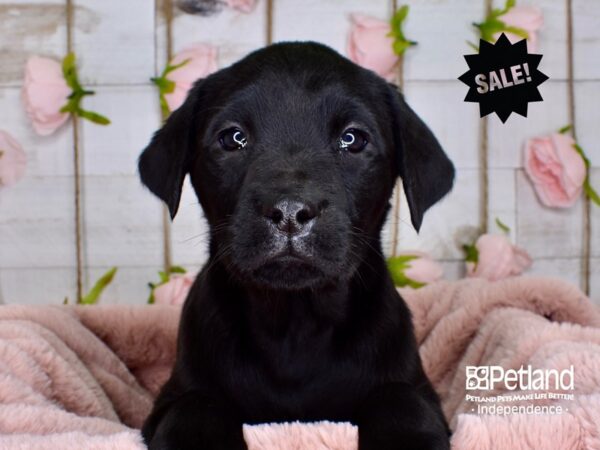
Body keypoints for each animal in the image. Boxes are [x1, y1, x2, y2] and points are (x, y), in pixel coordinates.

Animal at [138, 42, 452, 450]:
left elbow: (401, 398)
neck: (296, 324)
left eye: (352, 139)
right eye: (233, 138)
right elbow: (195, 405)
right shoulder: (173, 395)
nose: (289, 211)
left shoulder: (417, 387)